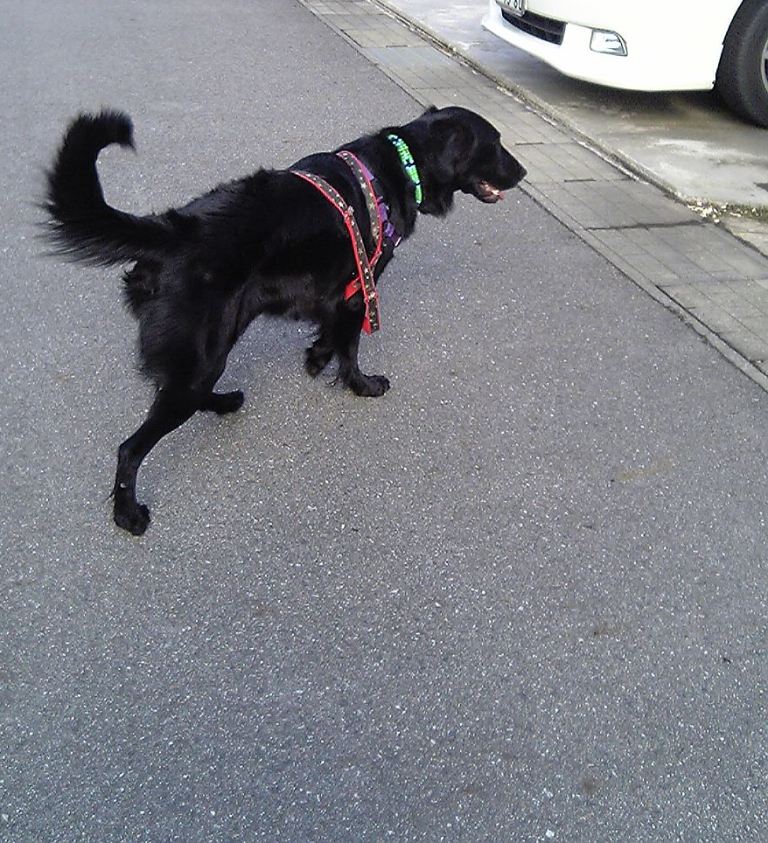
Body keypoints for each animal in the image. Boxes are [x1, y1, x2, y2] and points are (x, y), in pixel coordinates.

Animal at [43, 106, 526, 534]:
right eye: (496, 143)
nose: (523, 173)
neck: (396, 169)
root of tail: (172, 230)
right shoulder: (360, 289)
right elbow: (351, 347)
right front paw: (361, 384)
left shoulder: (337, 293)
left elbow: (331, 334)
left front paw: (316, 358)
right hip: (204, 352)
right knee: (131, 448)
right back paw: (127, 514)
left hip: (213, 344)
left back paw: (225, 402)